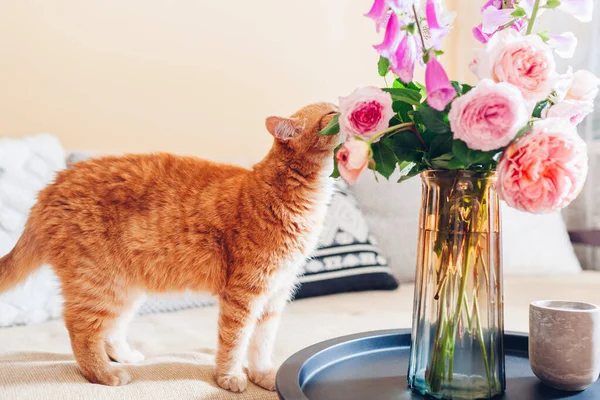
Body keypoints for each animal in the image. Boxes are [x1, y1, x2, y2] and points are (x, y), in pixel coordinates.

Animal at [0, 102, 340, 390]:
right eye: (331, 113)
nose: (345, 109)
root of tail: (51, 186)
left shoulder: (275, 295)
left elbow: (262, 343)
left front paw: (264, 375)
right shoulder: (244, 294)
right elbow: (234, 342)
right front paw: (229, 377)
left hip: (125, 290)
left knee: (110, 331)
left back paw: (125, 357)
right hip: (99, 285)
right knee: (81, 331)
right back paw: (105, 374)